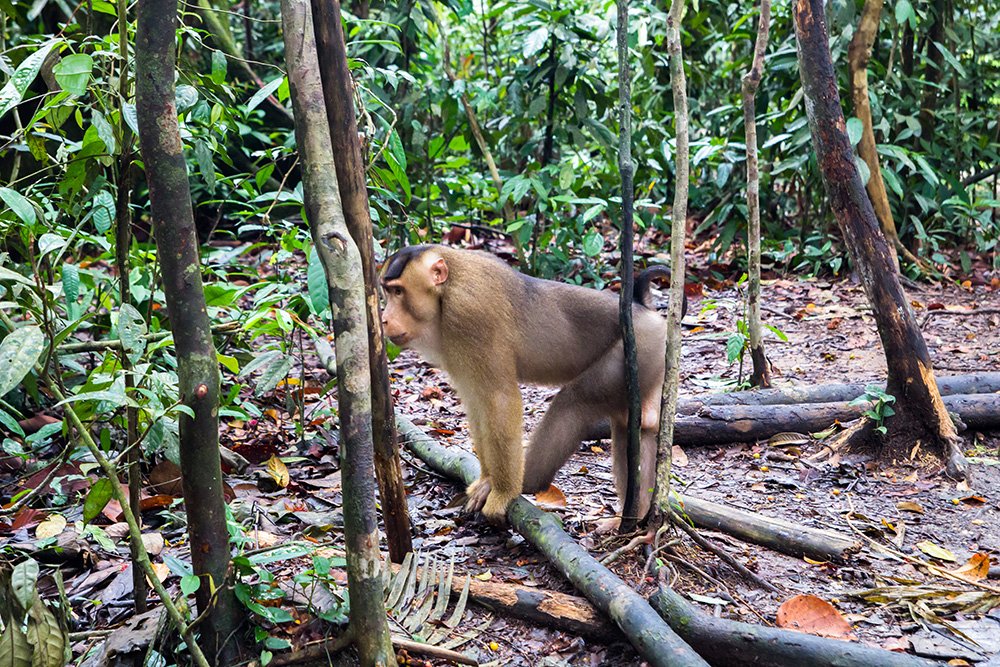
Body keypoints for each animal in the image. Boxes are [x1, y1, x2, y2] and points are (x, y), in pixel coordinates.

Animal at [378, 244, 684, 528]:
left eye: (398, 292)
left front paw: (502, 491)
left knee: (577, 401)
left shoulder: (471, 311)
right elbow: (476, 402)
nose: (383, 319)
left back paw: (529, 481)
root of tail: (643, 310)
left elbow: (499, 400)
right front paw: (487, 479)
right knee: (635, 423)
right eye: (387, 291)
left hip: (642, 345)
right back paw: (639, 517)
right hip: (650, 357)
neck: (447, 289)